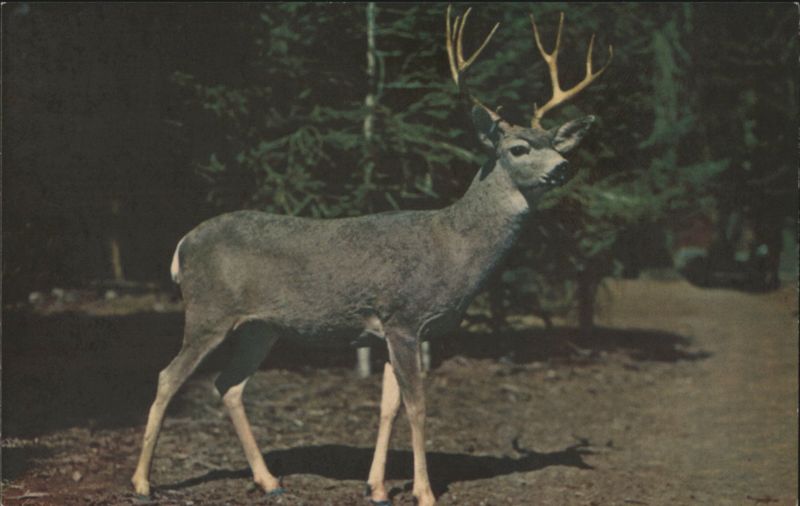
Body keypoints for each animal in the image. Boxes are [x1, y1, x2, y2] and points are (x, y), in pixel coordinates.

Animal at [131, 6, 611, 506]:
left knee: (228, 385)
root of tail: (182, 245)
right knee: (168, 377)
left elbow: (388, 407)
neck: (453, 247)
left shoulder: (391, 332)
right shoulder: (404, 317)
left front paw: (377, 486)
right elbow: (417, 406)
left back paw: (269, 480)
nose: (563, 167)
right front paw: (424, 491)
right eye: (518, 148)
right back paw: (142, 482)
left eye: (555, 144)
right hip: (209, 311)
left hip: (260, 327)